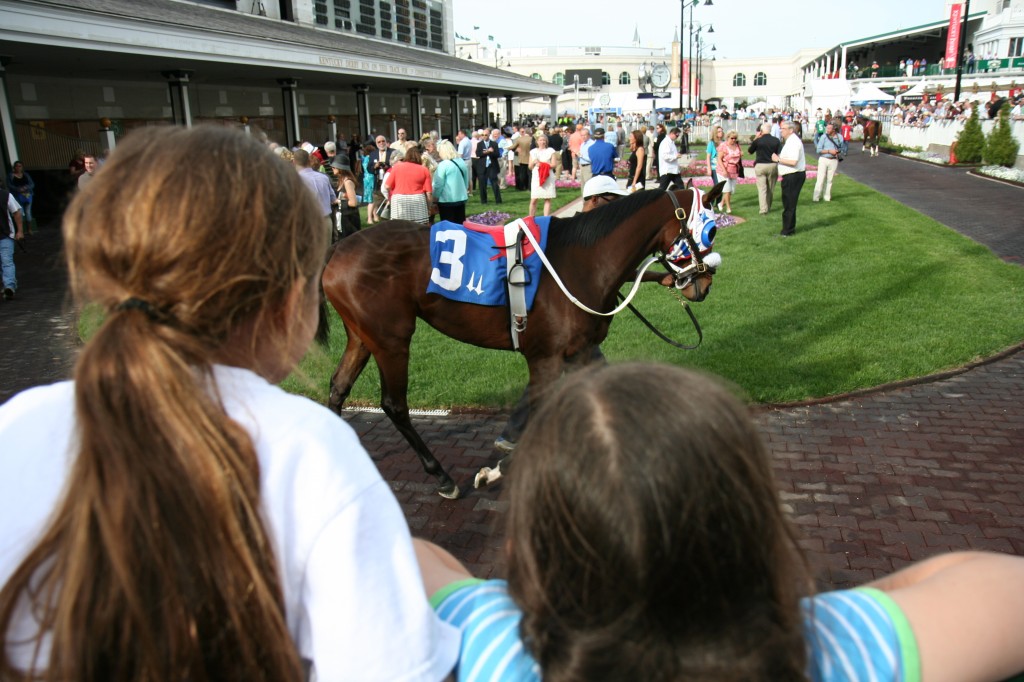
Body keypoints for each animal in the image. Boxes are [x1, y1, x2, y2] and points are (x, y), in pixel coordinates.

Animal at [323, 183, 724, 497]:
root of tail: (339, 248)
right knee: (394, 404)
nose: (704, 284)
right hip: (392, 339)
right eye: (711, 231)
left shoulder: (581, 351)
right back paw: (442, 477)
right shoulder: (545, 357)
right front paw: (495, 470)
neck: (583, 262)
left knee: (338, 387)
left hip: (362, 336)